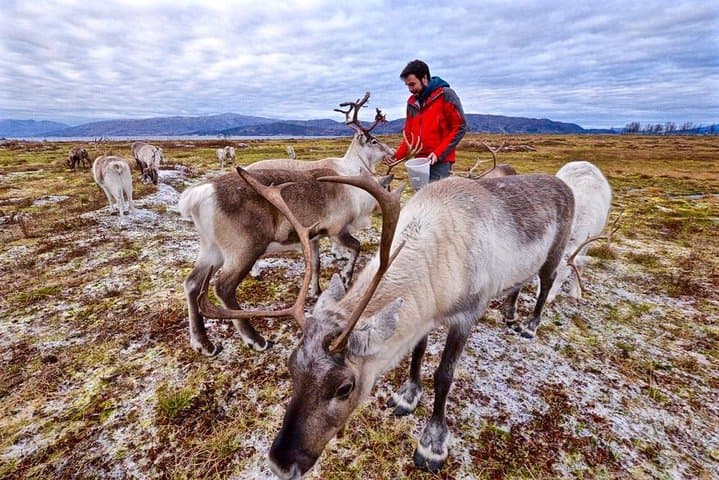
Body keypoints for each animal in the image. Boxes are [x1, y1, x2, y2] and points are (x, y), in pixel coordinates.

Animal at [198, 166, 575, 477]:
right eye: (291, 368)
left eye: (344, 387)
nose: (280, 464)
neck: (439, 255)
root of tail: (563, 182)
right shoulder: (424, 315)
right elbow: (416, 354)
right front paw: (407, 396)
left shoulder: (466, 314)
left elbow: (444, 376)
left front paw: (432, 444)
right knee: (520, 283)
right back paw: (509, 314)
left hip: (555, 252)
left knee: (546, 282)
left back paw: (529, 324)